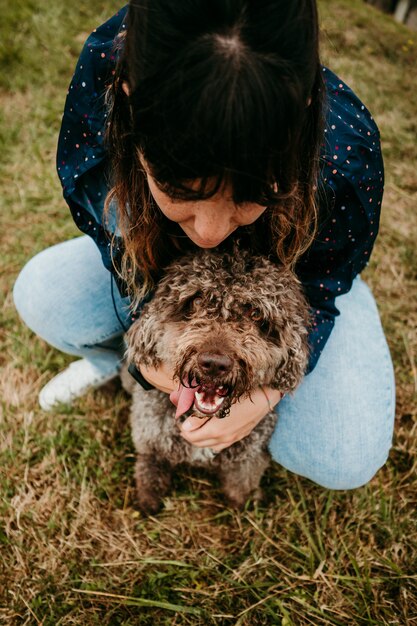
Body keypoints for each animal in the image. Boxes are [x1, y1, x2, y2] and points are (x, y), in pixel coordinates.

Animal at [125, 246, 310, 516]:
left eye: (255, 313)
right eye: (196, 301)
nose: (214, 364)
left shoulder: (248, 456)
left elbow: (241, 484)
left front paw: (244, 506)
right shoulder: (150, 440)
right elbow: (149, 469)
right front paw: (148, 501)